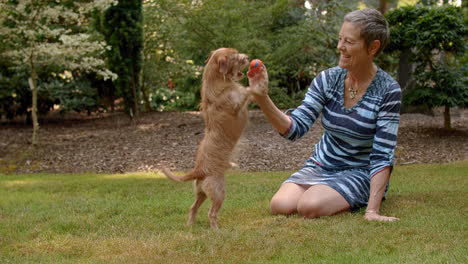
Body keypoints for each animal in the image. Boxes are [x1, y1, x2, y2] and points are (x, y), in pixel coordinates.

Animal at [163, 48, 254, 229]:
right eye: (235, 57)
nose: (247, 57)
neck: (218, 81)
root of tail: (199, 170)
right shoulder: (236, 104)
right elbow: (246, 92)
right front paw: (258, 85)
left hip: (202, 194)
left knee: (192, 208)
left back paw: (190, 225)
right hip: (219, 193)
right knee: (211, 213)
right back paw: (216, 230)